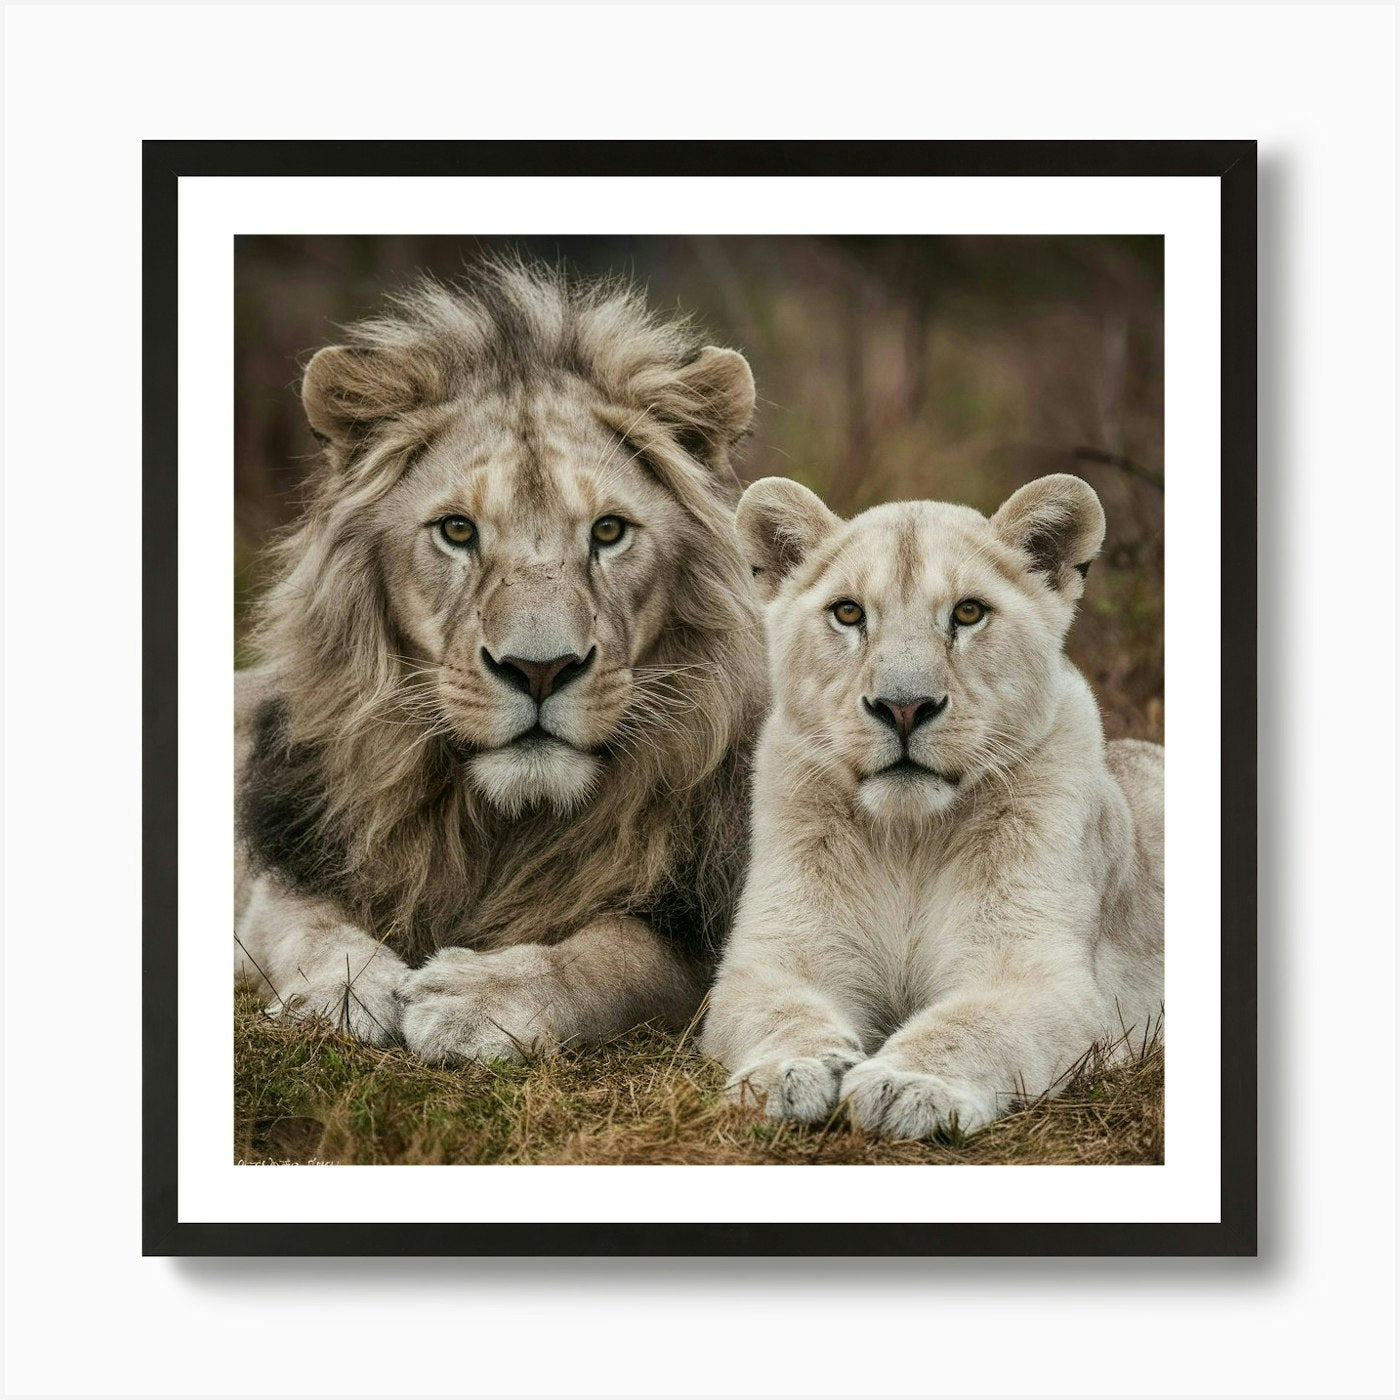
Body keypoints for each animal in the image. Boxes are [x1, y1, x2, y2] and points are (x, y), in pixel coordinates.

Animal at [235, 261, 766, 1065]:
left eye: (609, 532)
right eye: (457, 531)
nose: (540, 671)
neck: (503, 826)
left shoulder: (701, 920)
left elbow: (613, 955)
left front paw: (479, 997)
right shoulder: (290, 854)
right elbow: (308, 927)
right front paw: (347, 991)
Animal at [699, 473, 1164, 1138]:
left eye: (968, 612)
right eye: (848, 612)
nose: (903, 706)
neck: (908, 841)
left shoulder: (1042, 974)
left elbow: (972, 1025)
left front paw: (904, 1084)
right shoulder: (781, 957)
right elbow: (782, 1013)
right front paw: (789, 1076)